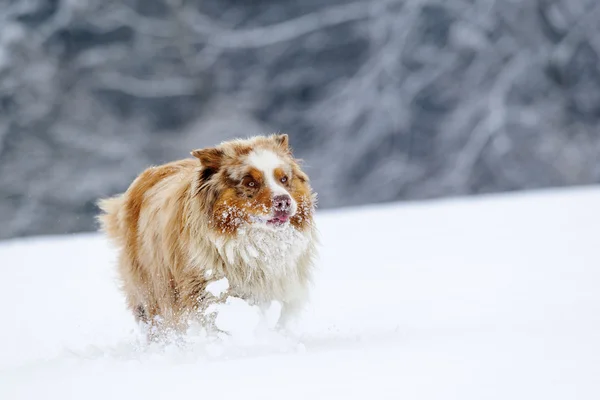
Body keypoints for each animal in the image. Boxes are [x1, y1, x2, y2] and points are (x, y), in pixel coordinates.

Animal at [96, 134, 318, 338]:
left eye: (284, 179)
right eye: (250, 183)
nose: (284, 201)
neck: (253, 243)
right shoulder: (205, 289)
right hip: (152, 289)